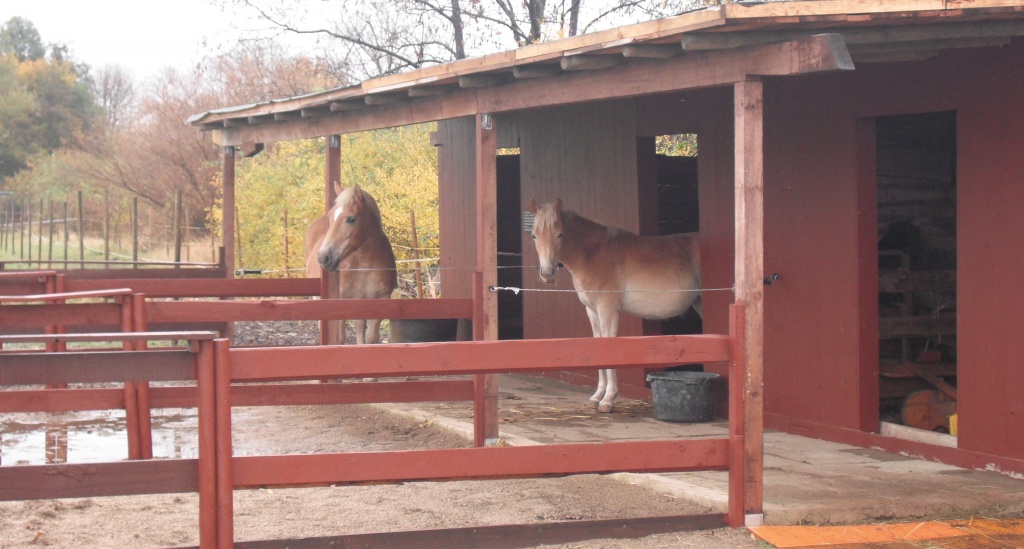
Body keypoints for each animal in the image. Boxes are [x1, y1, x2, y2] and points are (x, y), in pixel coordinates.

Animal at [306, 183, 397, 344]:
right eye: (331, 216)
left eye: (351, 219)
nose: (324, 257)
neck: (364, 265)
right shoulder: (347, 300)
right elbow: (348, 334)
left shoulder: (381, 299)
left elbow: (371, 337)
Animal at [527, 197, 702, 413]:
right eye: (534, 235)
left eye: (560, 234)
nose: (547, 273)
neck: (593, 254)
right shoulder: (592, 311)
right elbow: (598, 345)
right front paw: (596, 397)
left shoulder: (607, 309)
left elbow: (608, 345)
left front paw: (608, 400)